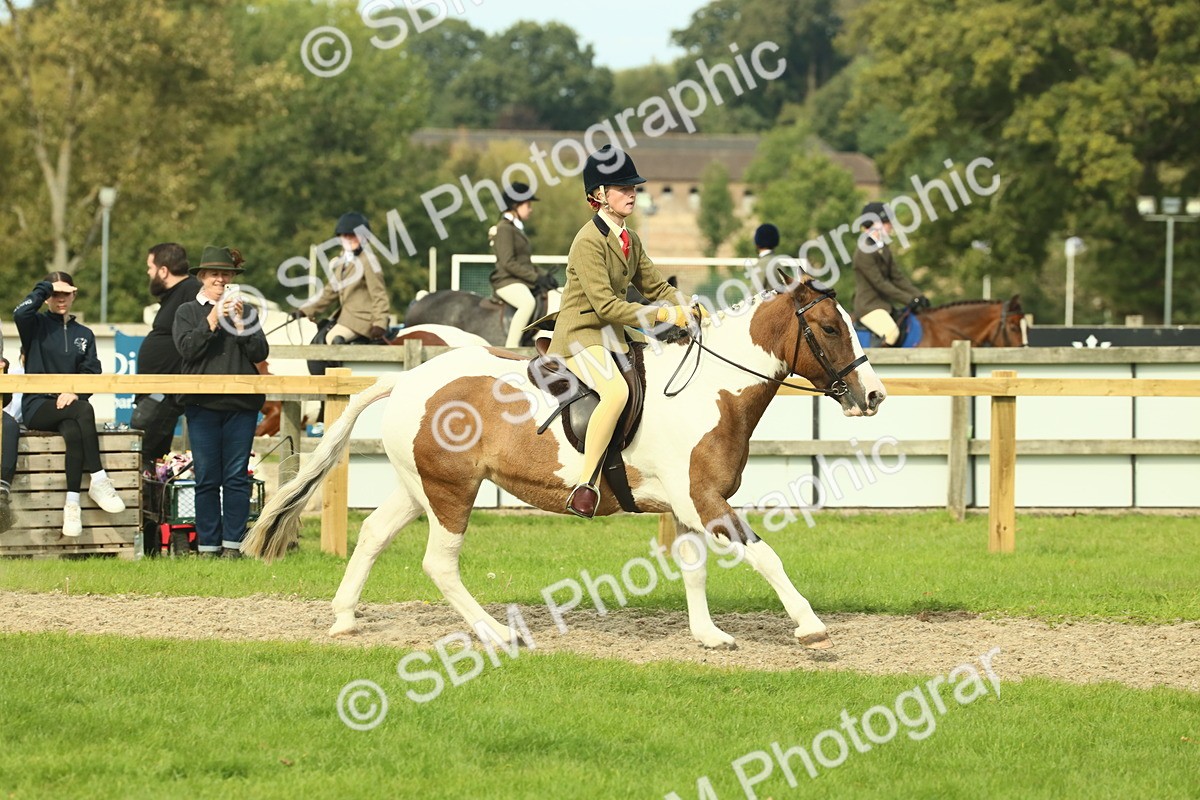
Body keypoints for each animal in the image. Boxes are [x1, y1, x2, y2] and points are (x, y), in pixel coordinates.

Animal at [243, 278, 886, 651]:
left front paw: (708, 635)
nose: (874, 396)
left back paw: (344, 618)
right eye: (831, 327)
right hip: (452, 491)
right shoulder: (704, 499)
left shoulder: (686, 505)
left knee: (375, 534)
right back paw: (497, 632)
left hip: (419, 485)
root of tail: (406, 380)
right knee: (439, 563)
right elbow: (764, 554)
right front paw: (809, 626)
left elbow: (694, 569)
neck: (710, 390)